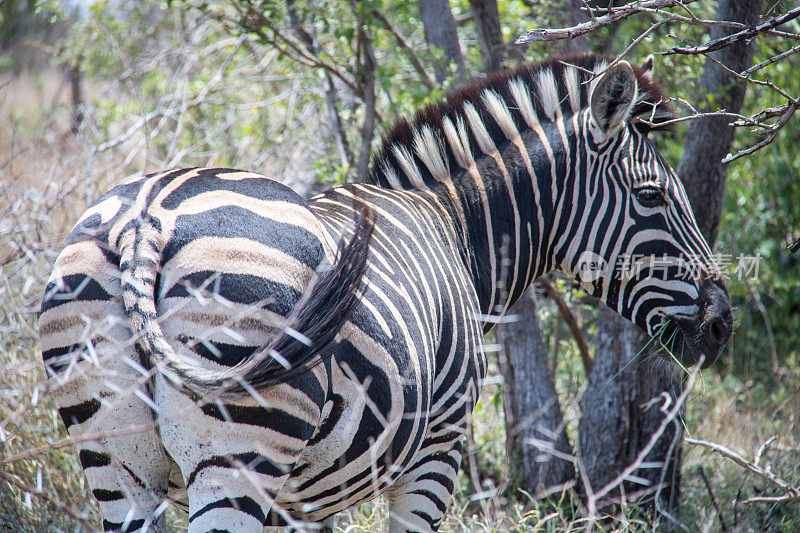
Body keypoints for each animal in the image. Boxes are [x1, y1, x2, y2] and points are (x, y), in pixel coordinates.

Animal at [40, 55, 736, 532]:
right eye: (653, 197)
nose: (722, 324)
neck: (456, 230)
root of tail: (148, 216)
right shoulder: (438, 452)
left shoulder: (305, 499)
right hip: (236, 455)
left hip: (114, 462)